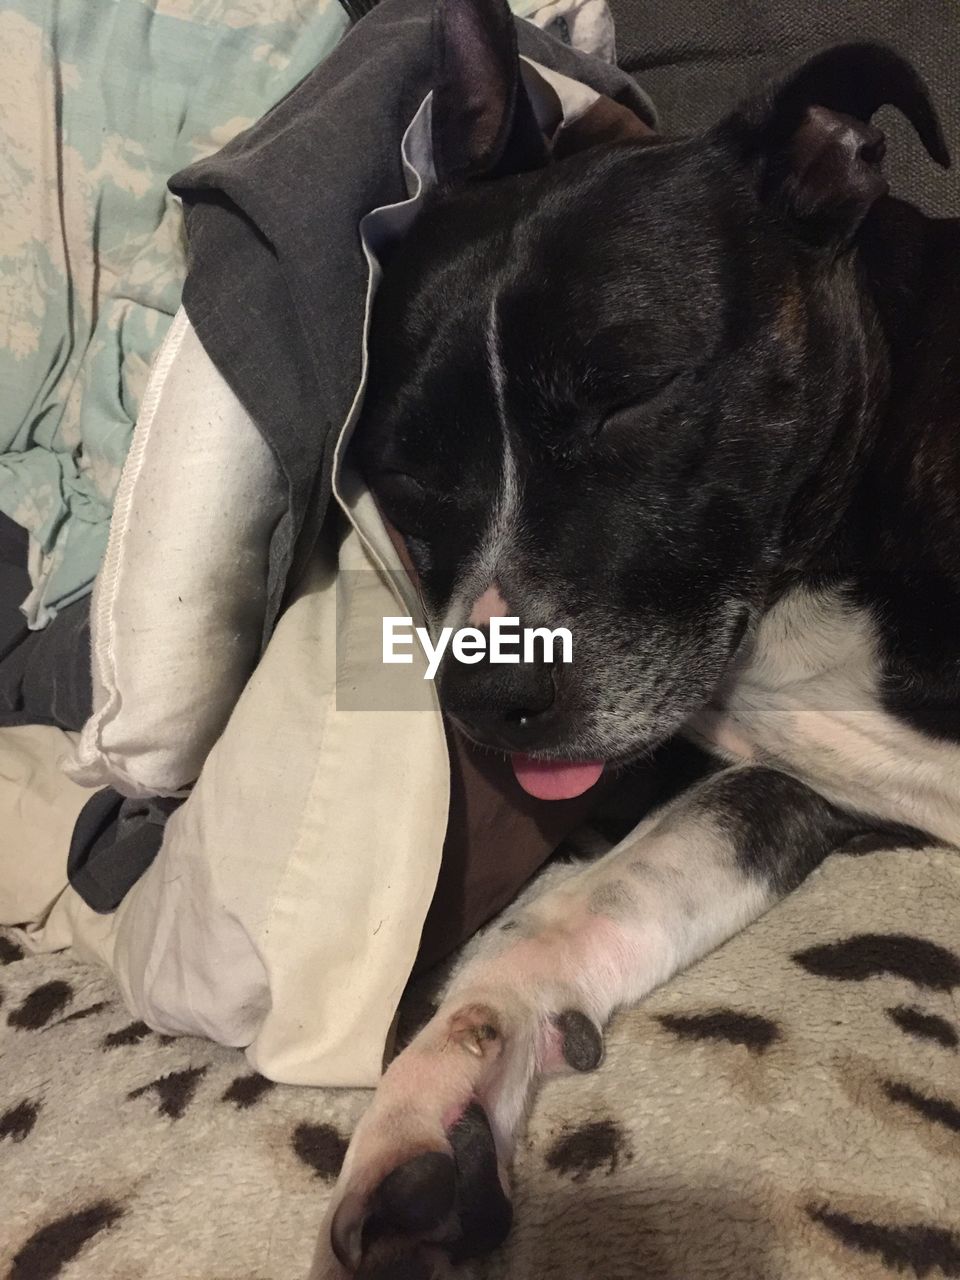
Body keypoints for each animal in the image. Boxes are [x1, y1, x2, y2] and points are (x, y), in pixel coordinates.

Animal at [317, 2, 960, 1269]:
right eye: (402, 467)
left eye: (630, 394)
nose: (487, 698)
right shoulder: (792, 777)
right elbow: (577, 910)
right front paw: (436, 1104)